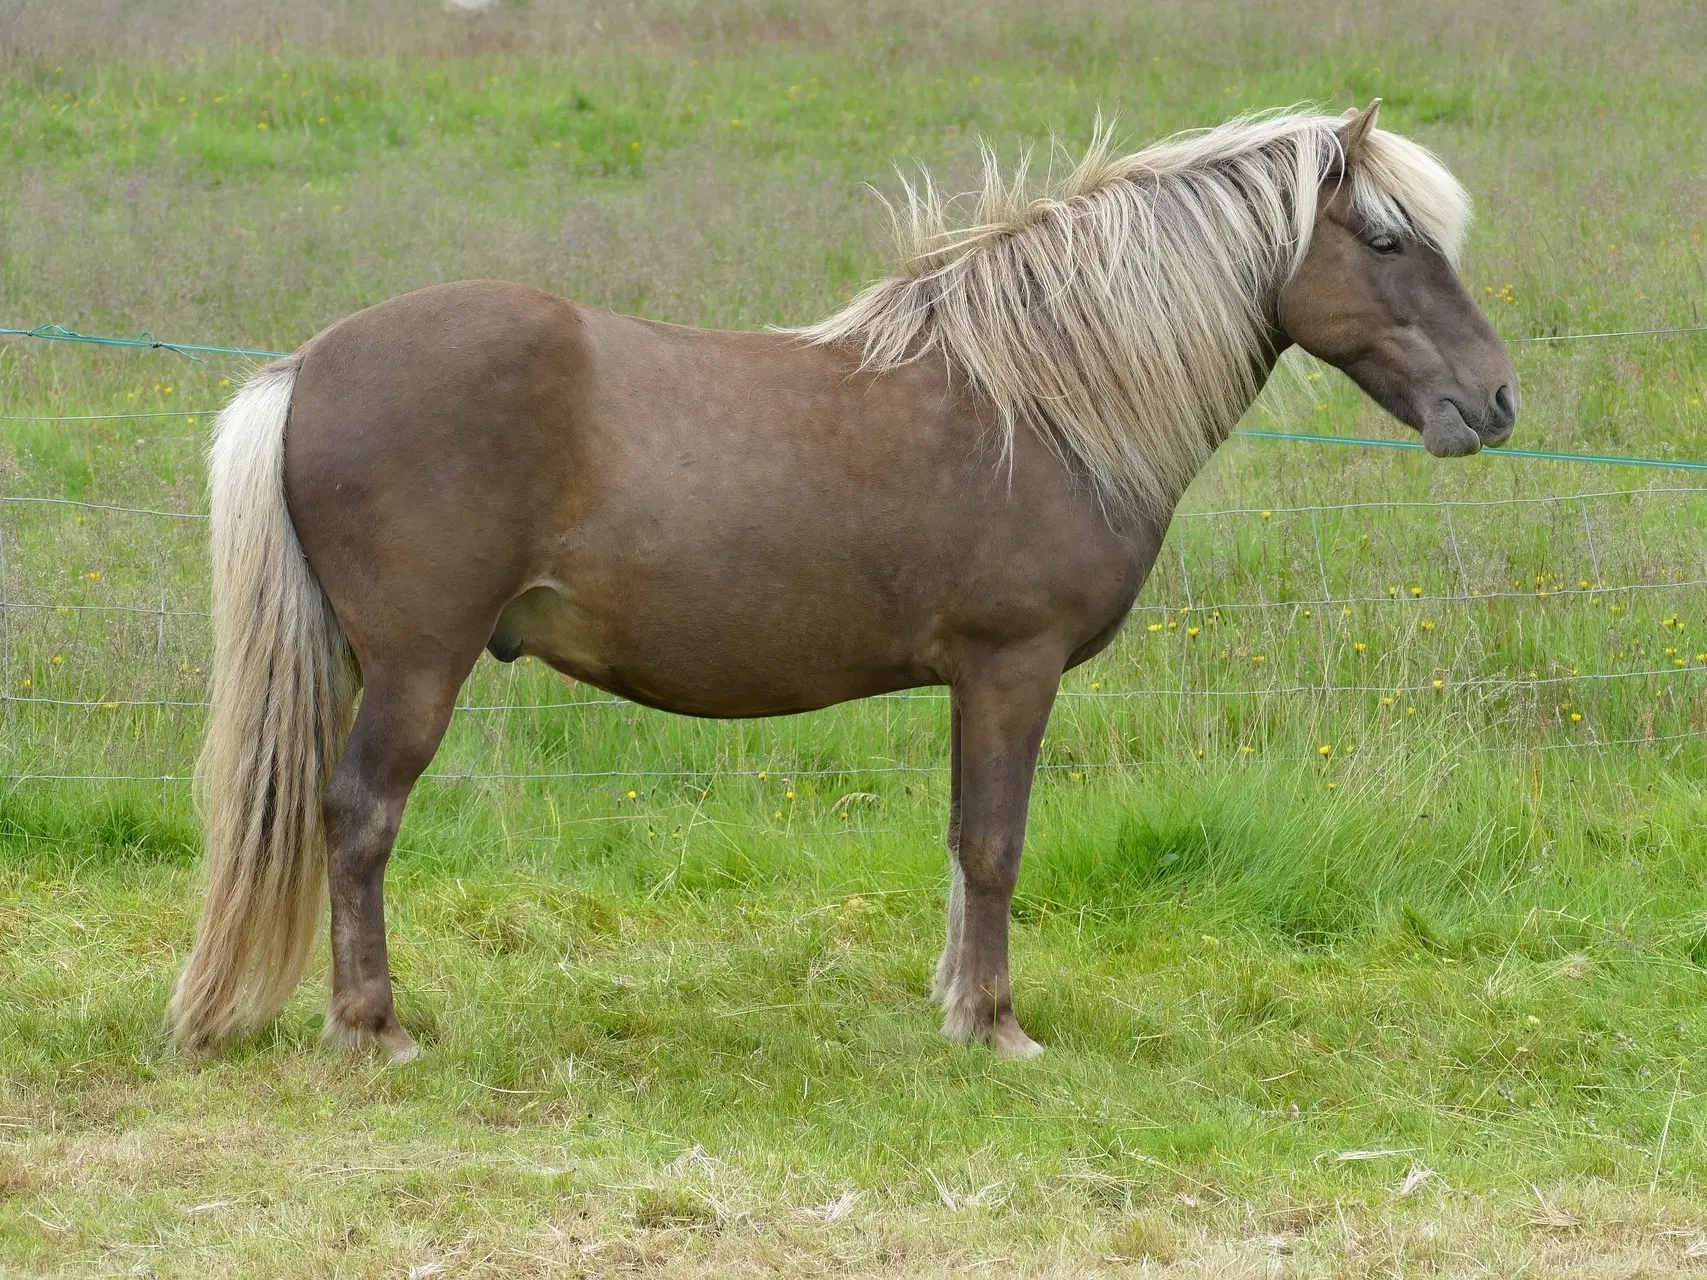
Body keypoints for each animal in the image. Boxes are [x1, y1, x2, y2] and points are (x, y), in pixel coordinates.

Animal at [166, 100, 1515, 1064]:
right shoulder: (1010, 667)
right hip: (414, 668)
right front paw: (996, 1025)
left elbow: (965, 842)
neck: (1037, 401)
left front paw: (958, 1005)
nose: (1494, 399)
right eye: (1385, 241)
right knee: (358, 818)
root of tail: (309, 363)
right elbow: (994, 843)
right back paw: (375, 1029)